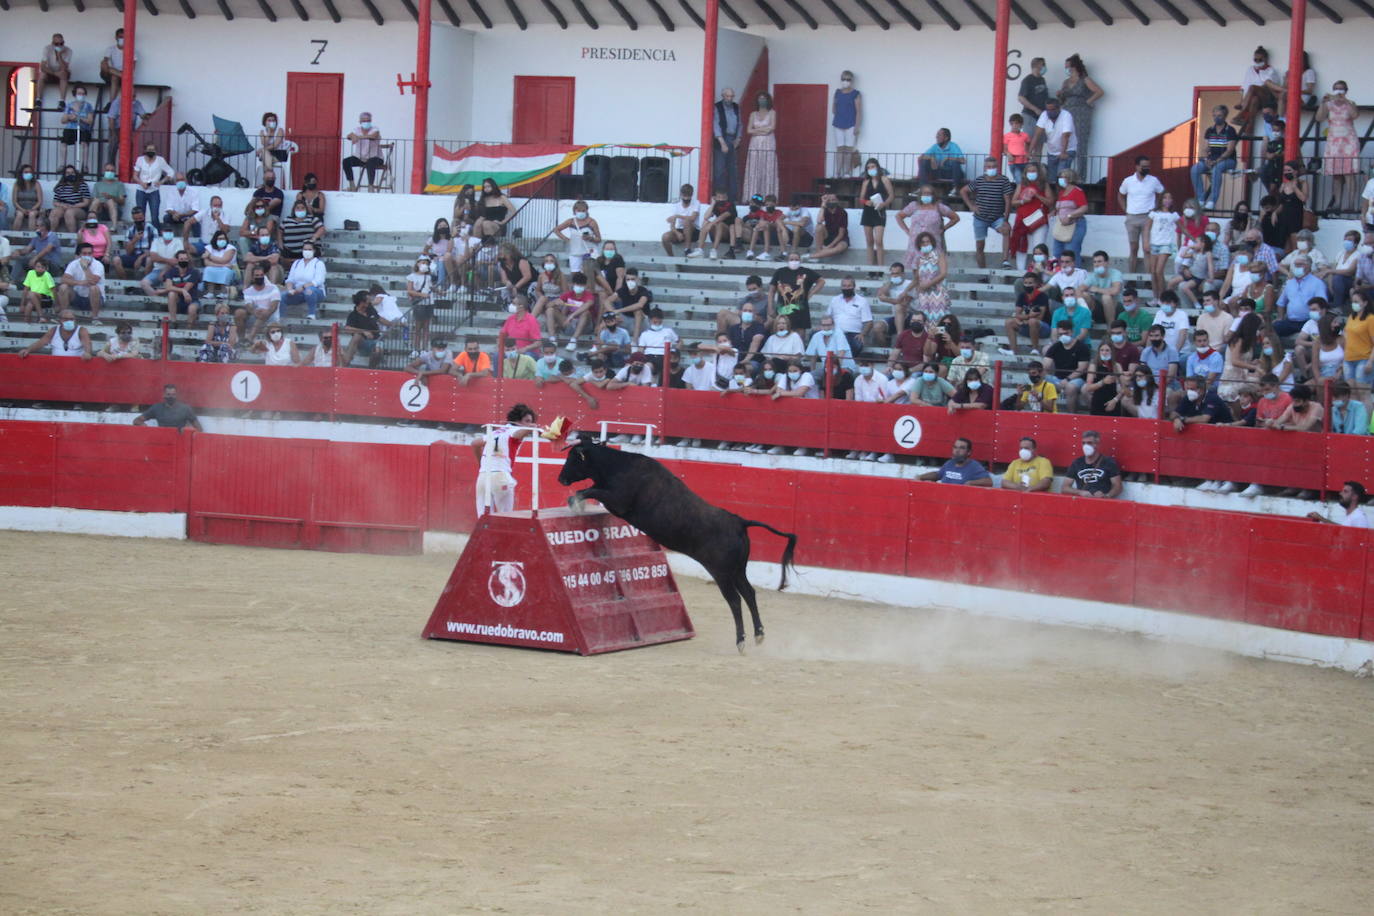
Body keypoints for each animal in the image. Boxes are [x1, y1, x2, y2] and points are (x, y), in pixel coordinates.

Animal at [555, 439, 802, 648]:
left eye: (573, 459)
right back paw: (758, 634)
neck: (617, 466)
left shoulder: (618, 501)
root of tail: (739, 521)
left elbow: (590, 490)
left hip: (721, 572)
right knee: (749, 593)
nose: (560, 479)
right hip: (738, 569)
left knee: (734, 599)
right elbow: (591, 489)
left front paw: (574, 501)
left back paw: (740, 640)